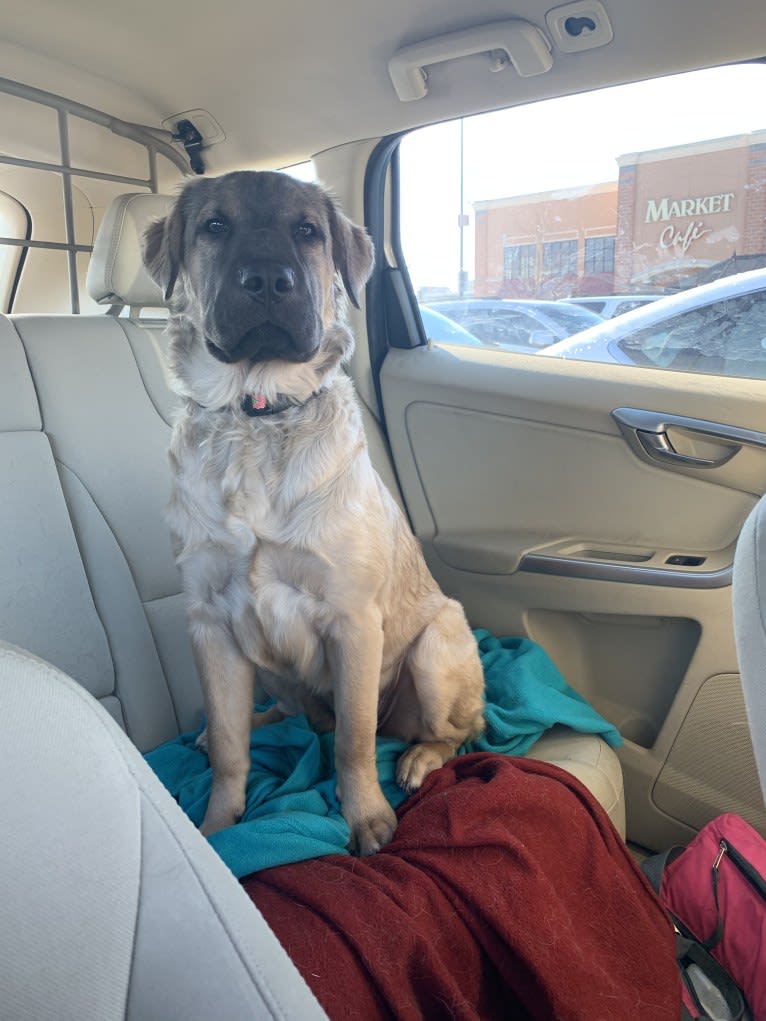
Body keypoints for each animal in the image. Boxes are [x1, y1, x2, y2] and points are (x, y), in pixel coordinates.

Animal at [144, 171, 486, 857]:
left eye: (307, 231)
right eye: (214, 226)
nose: (268, 280)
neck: (255, 414)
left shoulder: (352, 622)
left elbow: (354, 740)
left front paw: (366, 818)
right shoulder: (210, 627)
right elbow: (232, 749)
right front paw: (217, 827)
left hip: (435, 651)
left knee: (450, 732)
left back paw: (418, 759)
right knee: (284, 716)